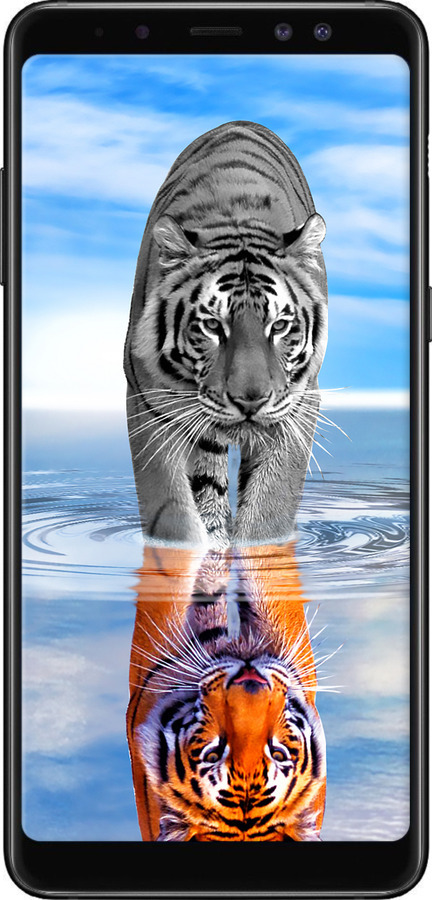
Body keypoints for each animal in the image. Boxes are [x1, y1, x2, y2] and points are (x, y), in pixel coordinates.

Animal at [124, 120, 328, 549]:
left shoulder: (299, 404)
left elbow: (270, 509)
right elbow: (172, 512)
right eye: (212, 326)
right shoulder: (148, 401)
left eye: (279, 326)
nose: (250, 400)